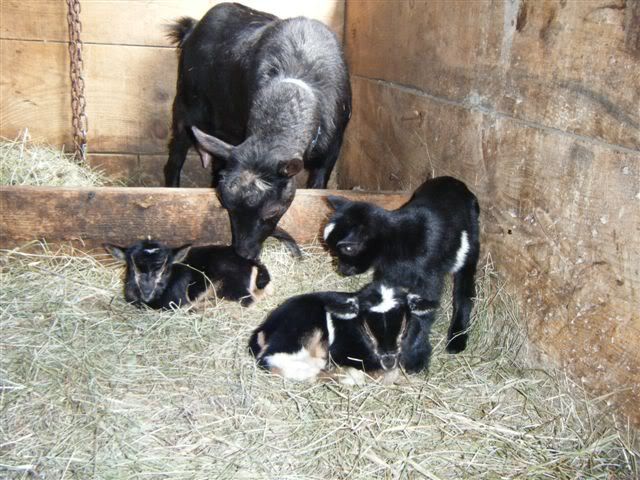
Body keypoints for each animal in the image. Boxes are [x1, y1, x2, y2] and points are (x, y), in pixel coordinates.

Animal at [104, 240, 270, 309]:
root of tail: (251, 262)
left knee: (249, 300)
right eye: (132, 267)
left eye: (166, 270)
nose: (147, 291)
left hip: (232, 285)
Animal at [164, 3, 352, 260]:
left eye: (273, 211)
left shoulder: (332, 149)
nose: (244, 253)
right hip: (185, 104)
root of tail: (192, 27)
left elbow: (318, 188)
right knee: (175, 156)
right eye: (225, 204)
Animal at [323, 176, 480, 354]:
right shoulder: (388, 275)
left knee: (464, 291)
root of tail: (455, 181)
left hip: (470, 247)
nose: (340, 270)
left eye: (348, 250)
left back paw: (457, 339)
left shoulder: (429, 279)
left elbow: (423, 309)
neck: (398, 240)